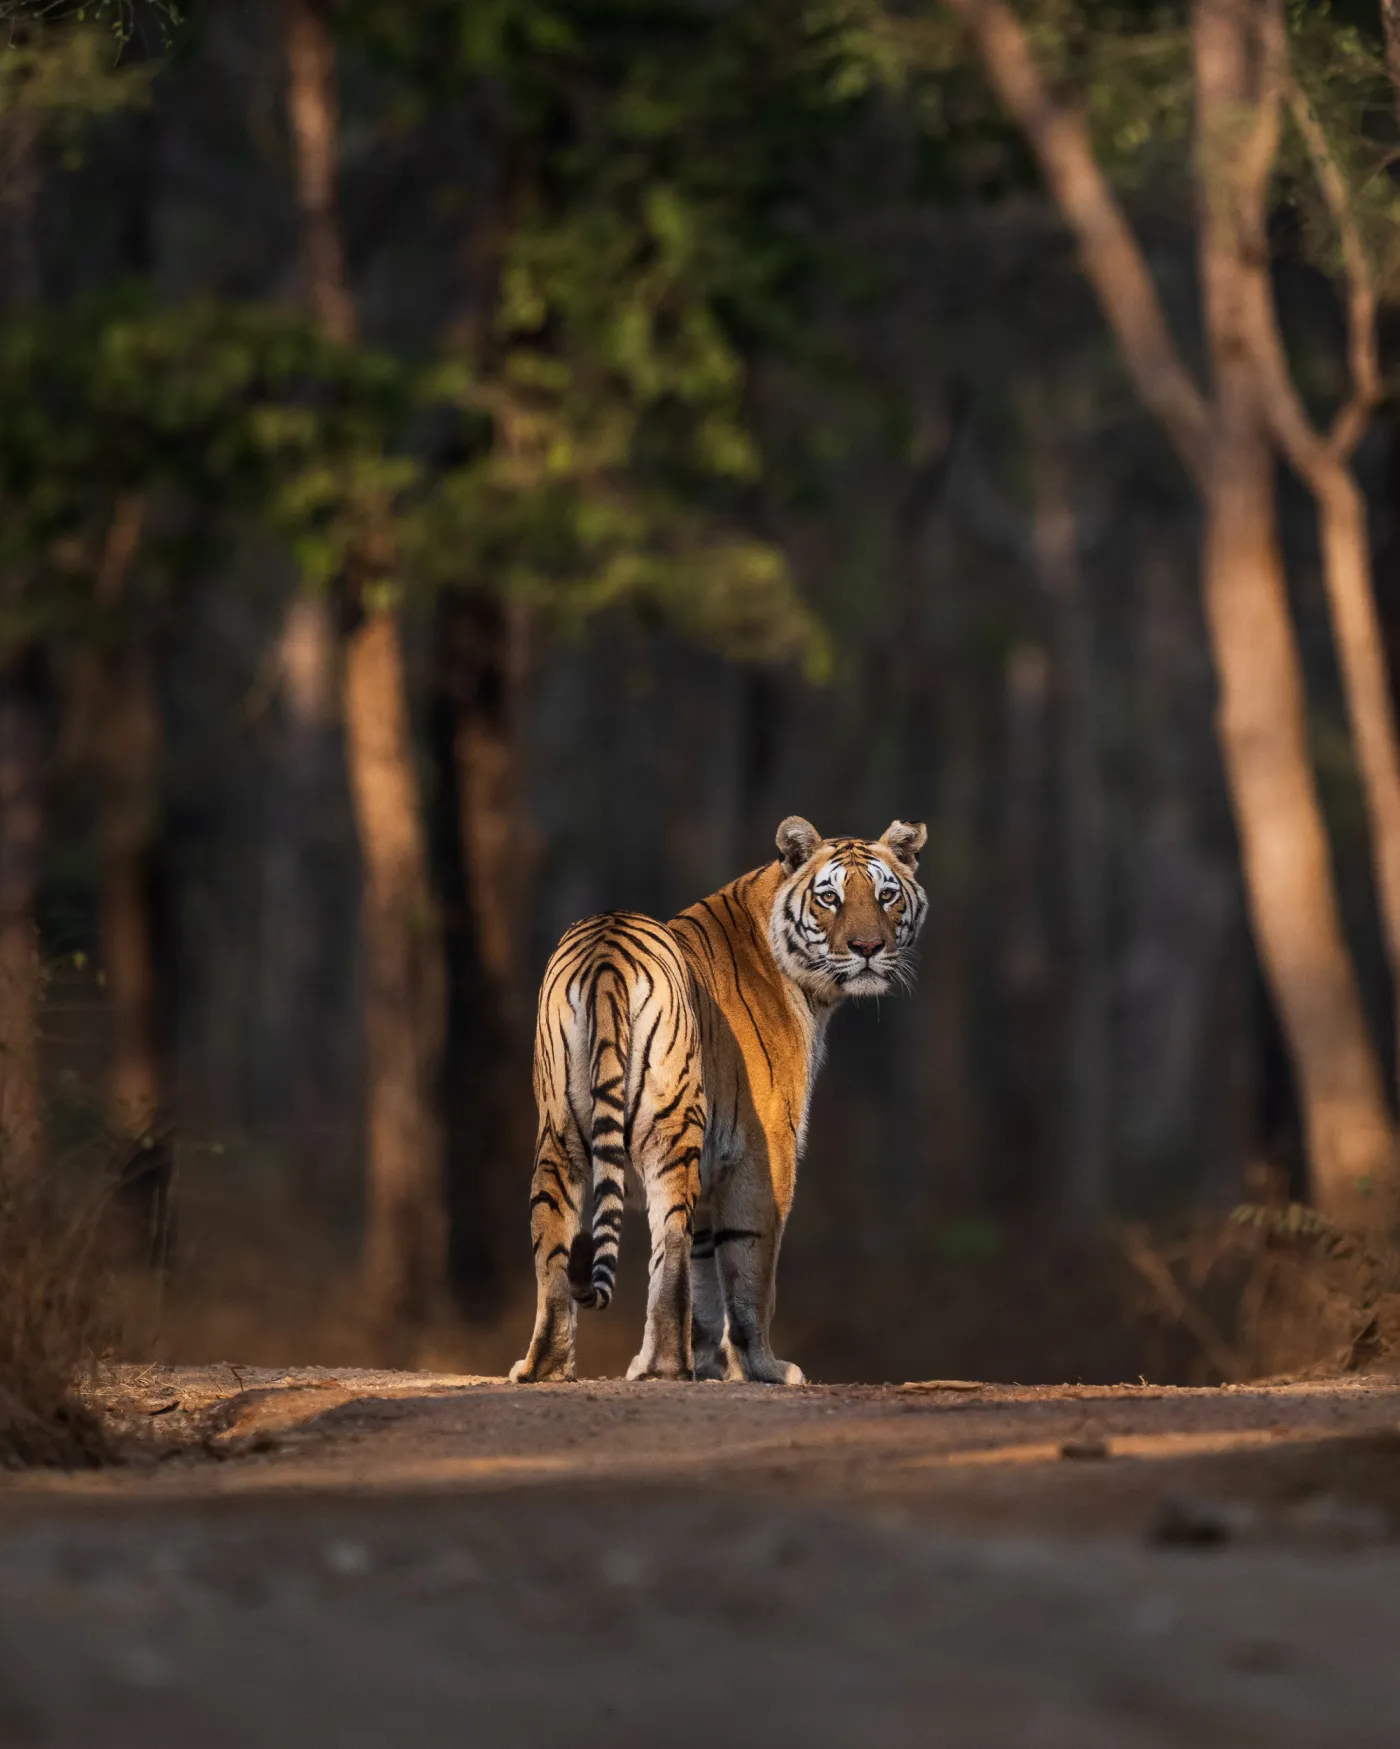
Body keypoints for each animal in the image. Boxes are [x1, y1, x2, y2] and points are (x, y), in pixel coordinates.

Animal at [510, 815, 928, 1386]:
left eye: (887, 896)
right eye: (830, 898)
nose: (868, 947)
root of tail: (606, 947)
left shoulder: (712, 1174)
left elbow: (707, 1278)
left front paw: (711, 1363)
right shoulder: (765, 1153)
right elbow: (750, 1271)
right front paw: (763, 1367)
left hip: (559, 1136)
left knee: (554, 1248)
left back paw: (546, 1366)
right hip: (670, 1132)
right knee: (669, 1250)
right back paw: (663, 1365)